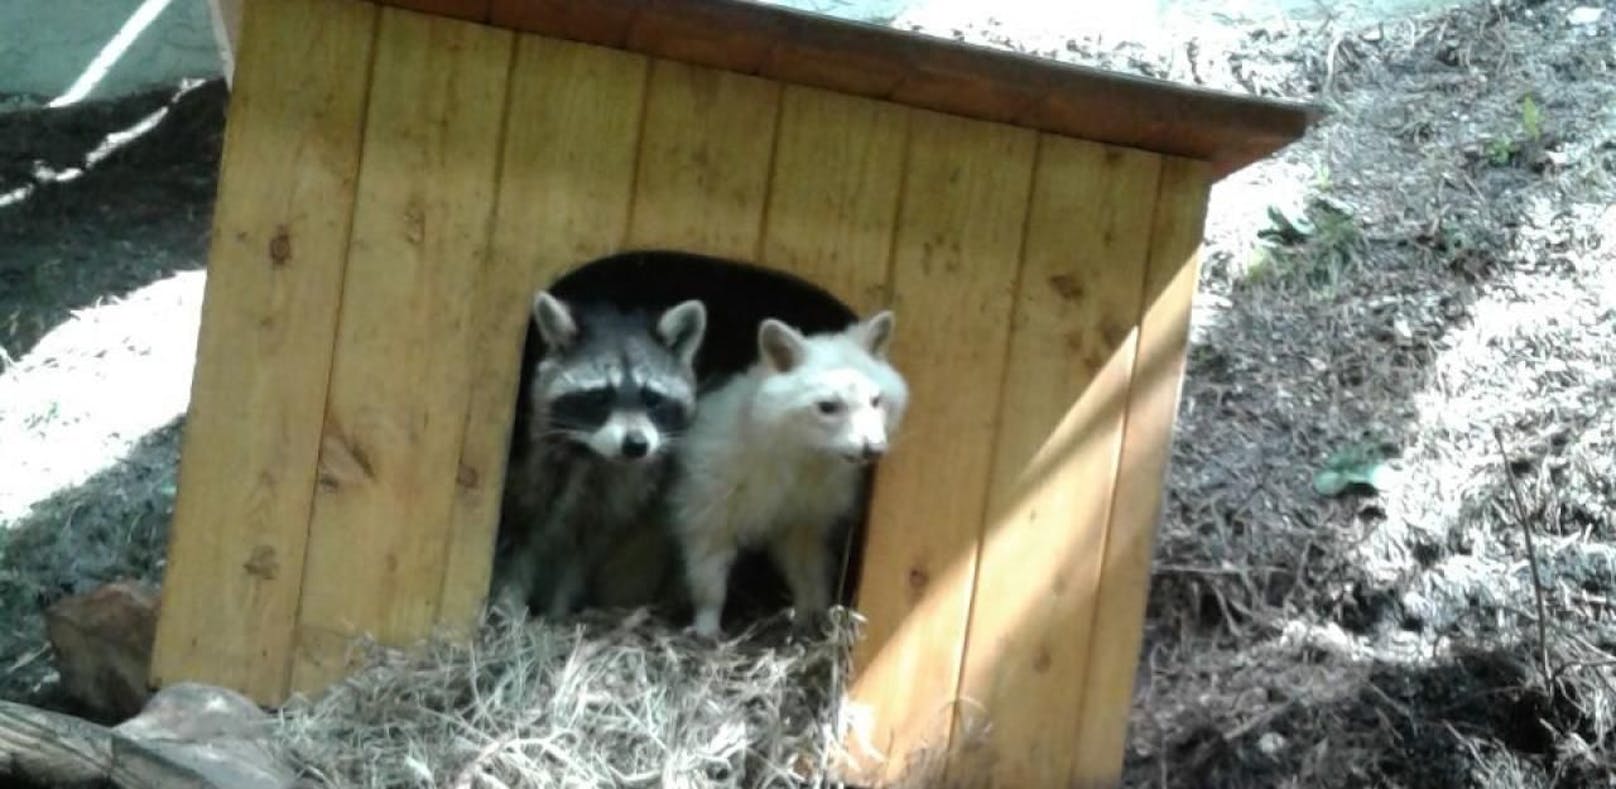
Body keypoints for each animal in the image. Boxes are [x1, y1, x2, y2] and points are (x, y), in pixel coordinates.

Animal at [491, 286, 707, 620]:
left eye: (651, 398)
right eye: (600, 397)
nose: (636, 444)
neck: (592, 455)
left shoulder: (614, 496)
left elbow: (579, 555)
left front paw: (557, 612)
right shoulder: (527, 469)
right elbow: (513, 548)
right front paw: (509, 609)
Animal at [662, 312, 904, 637]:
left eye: (876, 401)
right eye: (828, 407)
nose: (875, 449)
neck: (809, 454)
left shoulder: (808, 513)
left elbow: (807, 566)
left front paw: (810, 613)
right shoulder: (710, 494)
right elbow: (707, 560)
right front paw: (707, 619)